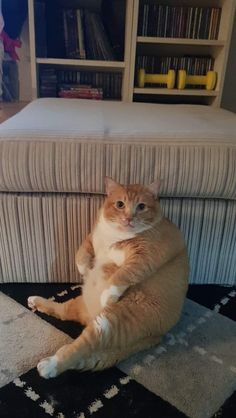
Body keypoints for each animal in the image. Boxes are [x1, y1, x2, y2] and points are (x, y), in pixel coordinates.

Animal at [28, 178, 188, 380]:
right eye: (120, 204)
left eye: (141, 206)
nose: (128, 218)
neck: (116, 234)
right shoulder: (93, 237)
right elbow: (81, 251)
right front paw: (85, 269)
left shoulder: (146, 256)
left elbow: (124, 273)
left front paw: (108, 295)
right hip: (82, 304)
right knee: (62, 311)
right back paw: (36, 301)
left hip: (108, 323)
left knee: (80, 347)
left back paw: (51, 365)